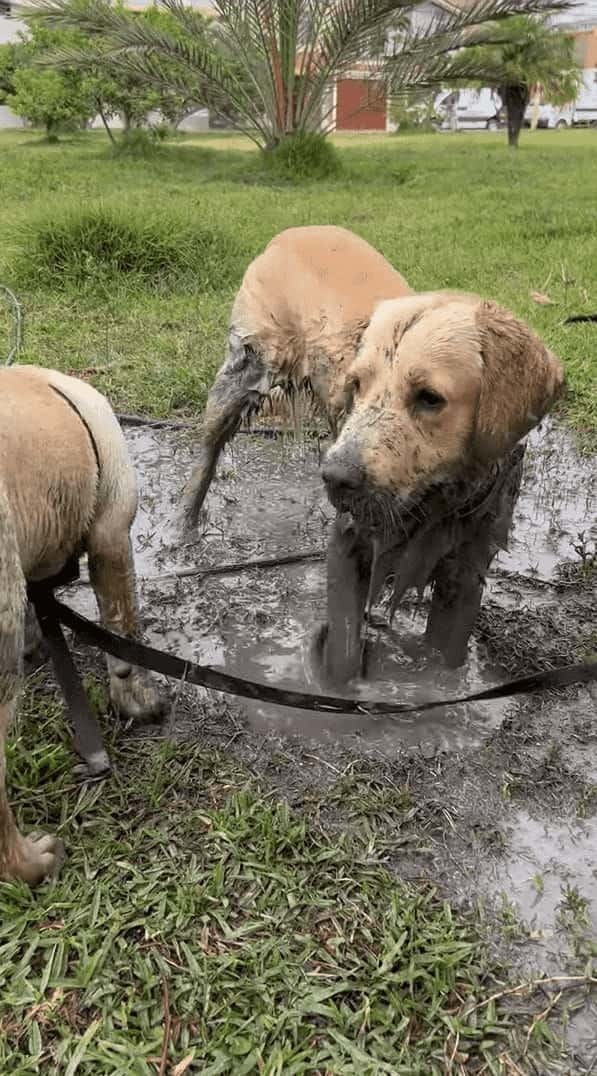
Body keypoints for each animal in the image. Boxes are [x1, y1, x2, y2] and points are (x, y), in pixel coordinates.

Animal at [182, 223, 563, 684]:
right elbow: (343, 650)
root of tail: (290, 232)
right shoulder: (350, 542)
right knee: (205, 457)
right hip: (243, 371)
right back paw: (184, 531)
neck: (440, 498)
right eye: (357, 385)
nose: (335, 478)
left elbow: (446, 658)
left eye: (430, 398)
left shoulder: (470, 563)